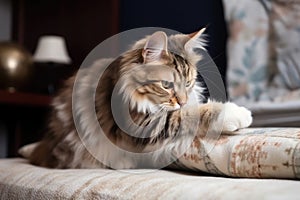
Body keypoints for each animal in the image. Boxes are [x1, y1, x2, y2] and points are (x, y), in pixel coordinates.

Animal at [24, 28, 252, 169]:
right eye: (166, 85)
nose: (183, 100)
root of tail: (44, 148)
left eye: (188, 83)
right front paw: (238, 114)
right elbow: (188, 115)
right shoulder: (143, 124)